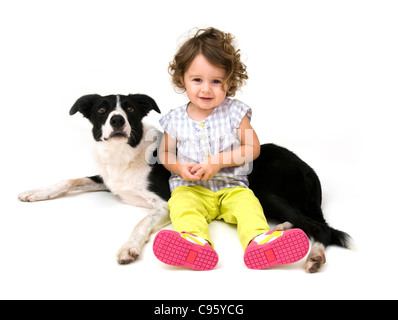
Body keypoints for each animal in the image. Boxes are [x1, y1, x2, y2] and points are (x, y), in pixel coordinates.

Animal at [17, 93, 352, 272]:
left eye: (130, 109)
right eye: (102, 110)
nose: (117, 120)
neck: (125, 152)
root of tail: (309, 169)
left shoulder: (163, 204)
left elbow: (140, 223)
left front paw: (129, 248)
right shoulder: (107, 180)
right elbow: (69, 179)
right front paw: (35, 192)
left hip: (266, 191)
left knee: (321, 227)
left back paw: (312, 254)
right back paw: (282, 233)